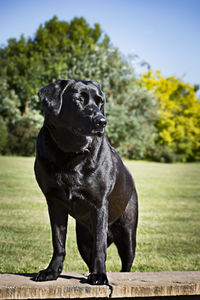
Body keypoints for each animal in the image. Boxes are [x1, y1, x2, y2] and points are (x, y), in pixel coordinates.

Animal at [34, 78, 138, 284]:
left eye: (100, 102)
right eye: (78, 99)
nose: (101, 121)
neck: (70, 154)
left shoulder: (99, 205)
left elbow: (100, 247)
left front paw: (100, 275)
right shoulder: (54, 203)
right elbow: (58, 242)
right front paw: (52, 271)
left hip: (128, 235)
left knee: (126, 263)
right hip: (82, 238)